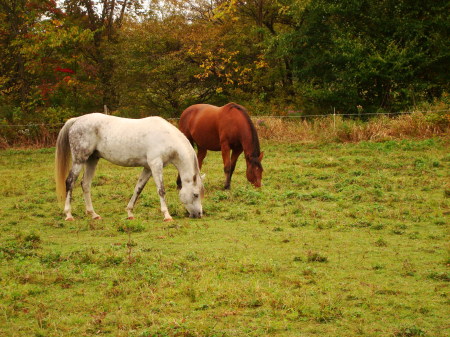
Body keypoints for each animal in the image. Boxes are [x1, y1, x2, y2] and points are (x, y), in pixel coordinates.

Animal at [55, 113, 203, 223]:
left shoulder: (148, 168)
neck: (166, 137)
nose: (199, 214)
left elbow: (138, 189)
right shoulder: (156, 165)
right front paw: (167, 216)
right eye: (196, 194)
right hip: (79, 160)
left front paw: (130, 212)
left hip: (92, 160)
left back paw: (94, 214)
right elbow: (161, 190)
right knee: (70, 182)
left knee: (85, 184)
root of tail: (77, 120)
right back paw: (68, 215)